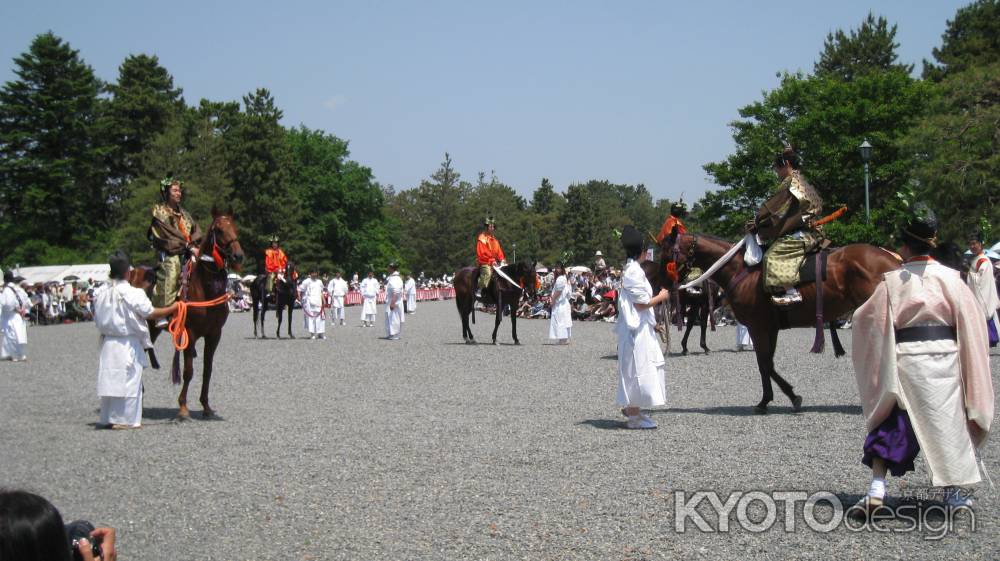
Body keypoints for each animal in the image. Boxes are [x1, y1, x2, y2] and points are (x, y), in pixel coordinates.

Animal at [137, 208, 244, 418]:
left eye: (235, 228)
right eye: (219, 230)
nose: (238, 256)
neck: (205, 288)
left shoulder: (214, 334)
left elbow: (207, 370)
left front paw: (206, 406)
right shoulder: (190, 333)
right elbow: (188, 371)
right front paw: (183, 407)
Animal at [660, 230, 904, 414]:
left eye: (668, 252)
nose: (661, 282)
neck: (742, 272)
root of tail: (893, 260)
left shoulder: (758, 327)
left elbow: (764, 364)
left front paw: (767, 400)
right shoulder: (771, 328)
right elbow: (769, 363)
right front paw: (790, 396)